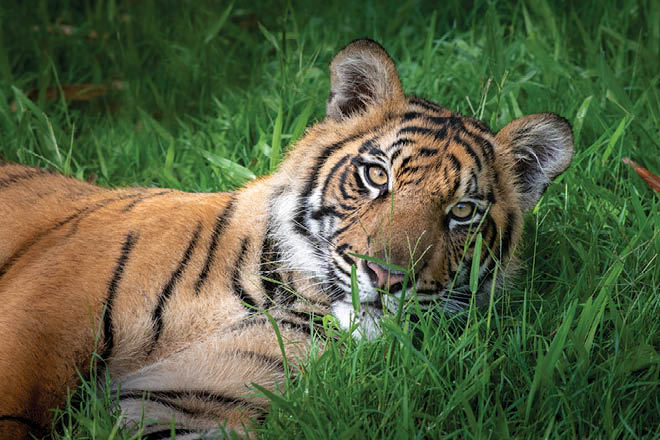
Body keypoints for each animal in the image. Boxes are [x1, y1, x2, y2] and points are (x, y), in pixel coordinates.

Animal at [0, 39, 573, 439]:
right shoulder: (39, 323)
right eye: (377, 176)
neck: (275, 293)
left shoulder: (187, 402)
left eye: (461, 212)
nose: (387, 278)